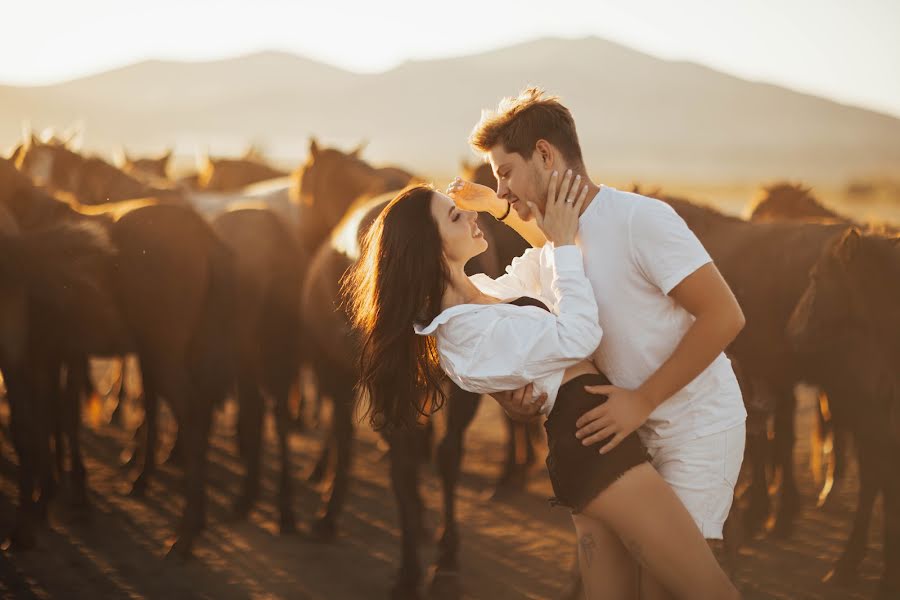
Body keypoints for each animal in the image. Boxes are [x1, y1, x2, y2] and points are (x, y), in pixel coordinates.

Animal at [0, 159, 237, 556]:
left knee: (191, 415)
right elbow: (55, 418)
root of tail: (201, 234)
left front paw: (32, 520)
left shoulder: (29, 357)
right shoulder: (54, 354)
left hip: (163, 354)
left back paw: (183, 535)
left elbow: (35, 427)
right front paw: (50, 498)